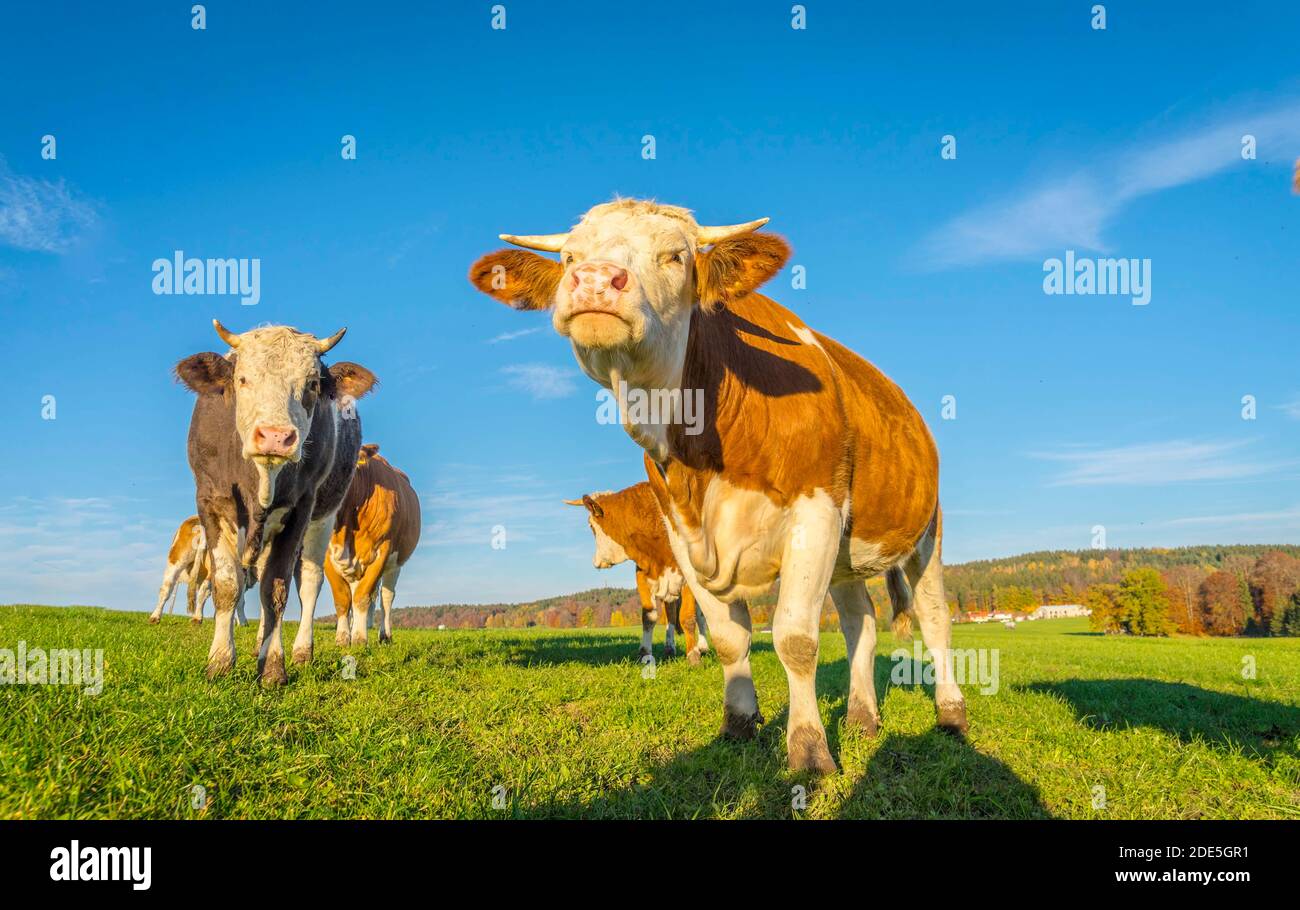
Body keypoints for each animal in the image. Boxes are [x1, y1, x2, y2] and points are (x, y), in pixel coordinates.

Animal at [174, 320, 376, 685]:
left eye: (312, 383)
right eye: (242, 379)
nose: (275, 437)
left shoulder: (300, 508)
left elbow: (276, 589)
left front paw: (272, 666)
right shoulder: (210, 500)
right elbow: (227, 584)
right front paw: (220, 661)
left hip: (324, 515)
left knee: (309, 582)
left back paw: (301, 651)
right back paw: (257, 643)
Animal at [325, 443, 421, 647]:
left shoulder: (382, 551)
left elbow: (363, 596)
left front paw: (360, 638)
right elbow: (342, 598)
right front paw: (343, 638)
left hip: (395, 563)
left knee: (386, 596)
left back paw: (385, 635)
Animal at [564, 480, 710, 663]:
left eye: (591, 526)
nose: (595, 562)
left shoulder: (688, 578)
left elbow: (688, 616)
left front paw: (693, 656)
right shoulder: (643, 575)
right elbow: (649, 617)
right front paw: (645, 654)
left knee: (700, 613)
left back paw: (703, 646)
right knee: (670, 612)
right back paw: (670, 648)